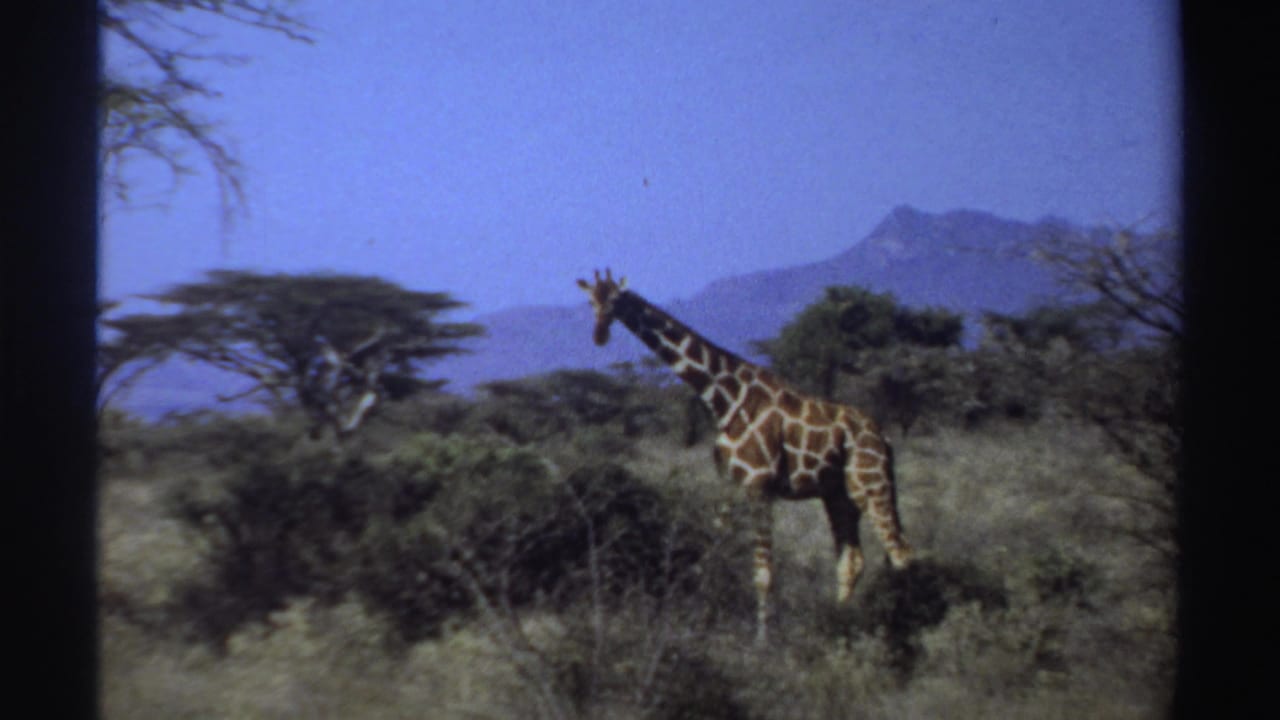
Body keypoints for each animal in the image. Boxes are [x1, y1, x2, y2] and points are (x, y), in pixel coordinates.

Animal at [577, 269, 913, 644]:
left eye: (615, 299)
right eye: (590, 301)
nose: (599, 335)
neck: (723, 399)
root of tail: (884, 436)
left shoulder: (759, 484)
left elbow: (764, 573)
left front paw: (762, 642)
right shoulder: (729, 483)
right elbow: (713, 556)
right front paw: (701, 625)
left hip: (870, 484)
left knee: (901, 553)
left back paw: (899, 631)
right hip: (838, 495)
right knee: (852, 560)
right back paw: (841, 624)